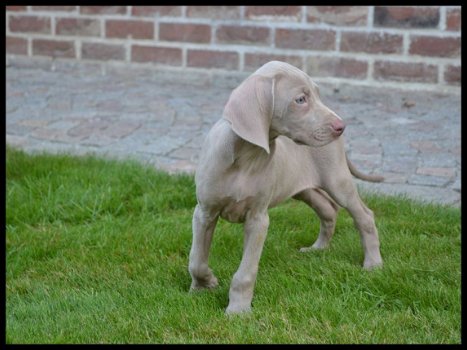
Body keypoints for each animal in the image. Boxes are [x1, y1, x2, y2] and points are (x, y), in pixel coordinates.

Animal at [190, 60, 384, 314]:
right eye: (300, 99)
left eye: (318, 94)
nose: (341, 126)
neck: (246, 157)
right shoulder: (204, 212)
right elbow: (196, 260)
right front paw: (202, 286)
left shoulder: (258, 219)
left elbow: (246, 272)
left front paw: (238, 310)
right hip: (303, 188)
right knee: (328, 209)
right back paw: (318, 248)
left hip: (337, 180)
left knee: (364, 215)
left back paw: (373, 263)